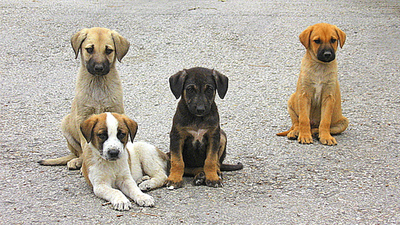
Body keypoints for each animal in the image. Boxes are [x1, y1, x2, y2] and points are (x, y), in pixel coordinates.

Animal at [38, 27, 129, 169]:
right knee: (79, 153)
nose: (98, 68)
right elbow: (86, 145)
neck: (98, 83)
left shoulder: (116, 111)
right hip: (65, 124)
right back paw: (77, 161)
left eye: (108, 50)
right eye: (89, 49)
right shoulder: (83, 117)